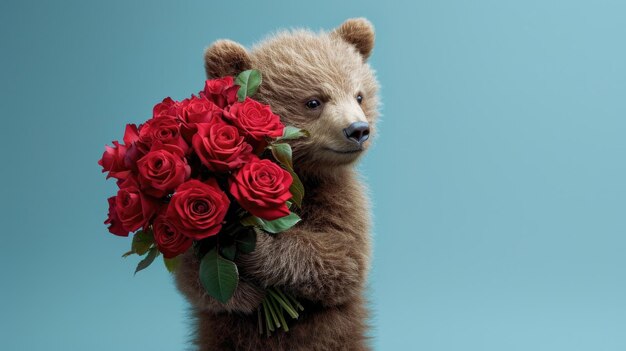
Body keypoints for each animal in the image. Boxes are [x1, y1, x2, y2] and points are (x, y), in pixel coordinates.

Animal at [176, 19, 380, 351]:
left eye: (359, 95)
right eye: (314, 101)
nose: (358, 129)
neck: (300, 172)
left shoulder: (340, 196)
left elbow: (343, 257)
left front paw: (256, 243)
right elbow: (194, 276)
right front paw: (246, 291)